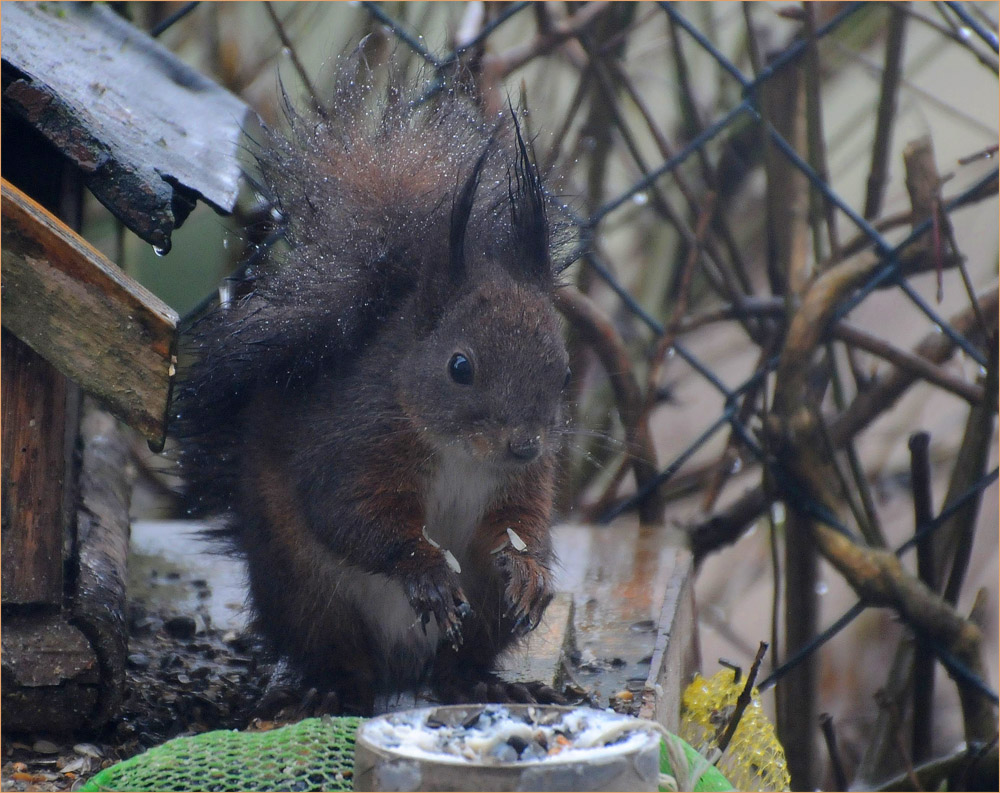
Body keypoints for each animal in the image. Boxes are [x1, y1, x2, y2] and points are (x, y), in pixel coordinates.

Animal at [174, 58, 572, 708]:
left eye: (563, 369)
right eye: (459, 367)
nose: (524, 445)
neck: (459, 453)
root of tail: (402, 668)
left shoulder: (525, 483)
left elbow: (520, 524)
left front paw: (531, 572)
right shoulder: (354, 444)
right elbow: (352, 514)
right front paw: (425, 570)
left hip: (483, 616)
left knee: (457, 662)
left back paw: (482, 682)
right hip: (310, 596)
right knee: (341, 658)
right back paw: (332, 691)